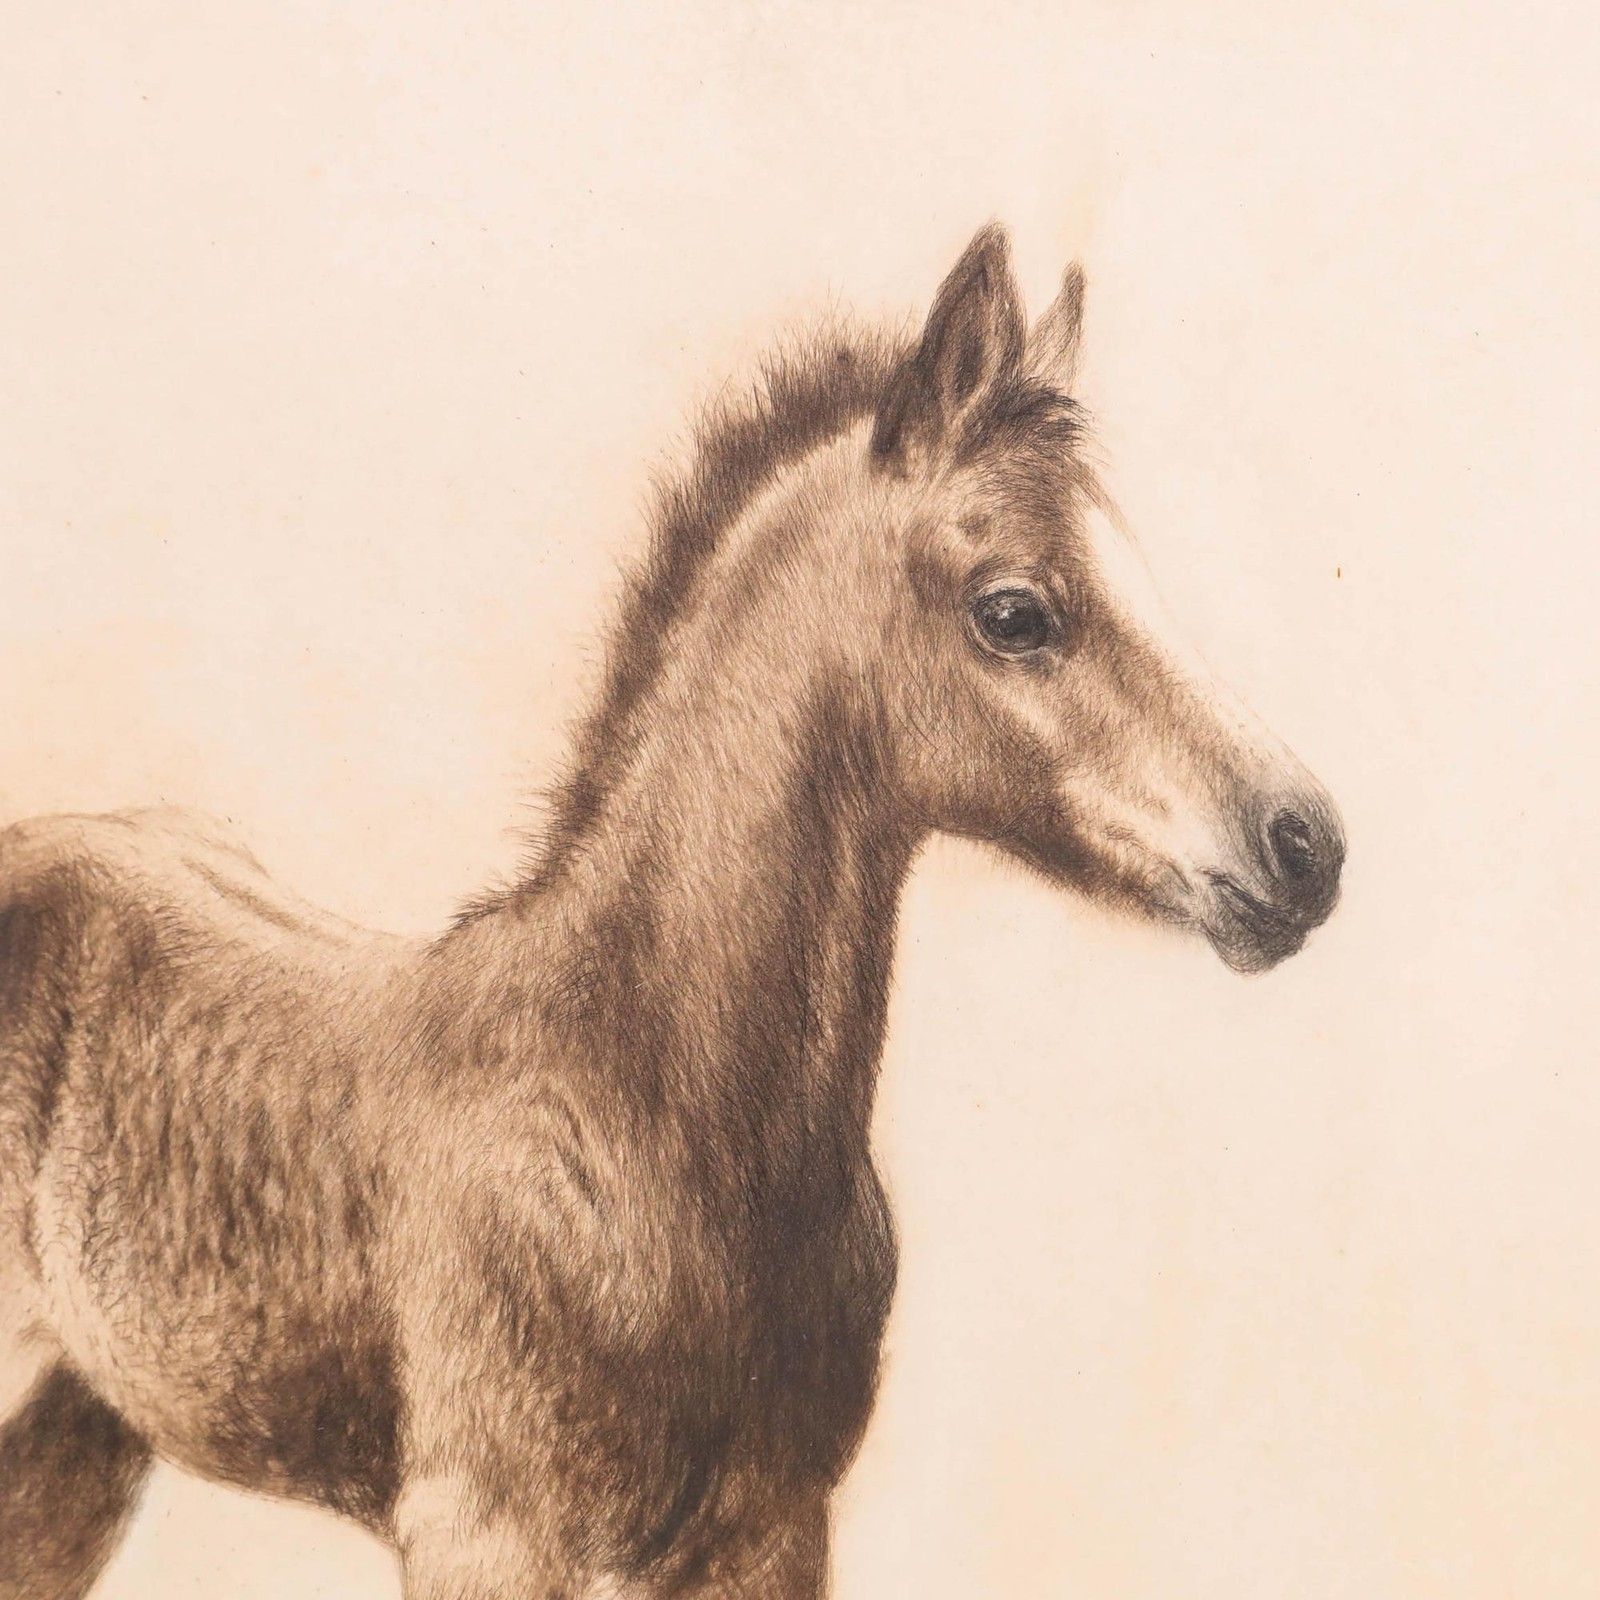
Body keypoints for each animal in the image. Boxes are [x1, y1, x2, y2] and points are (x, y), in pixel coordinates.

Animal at [0, 224, 1343, 1599]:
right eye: (1012, 610)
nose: (1303, 845)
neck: (647, 1107)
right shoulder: (486, 1535)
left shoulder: (773, 1532)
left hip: (82, 1430)